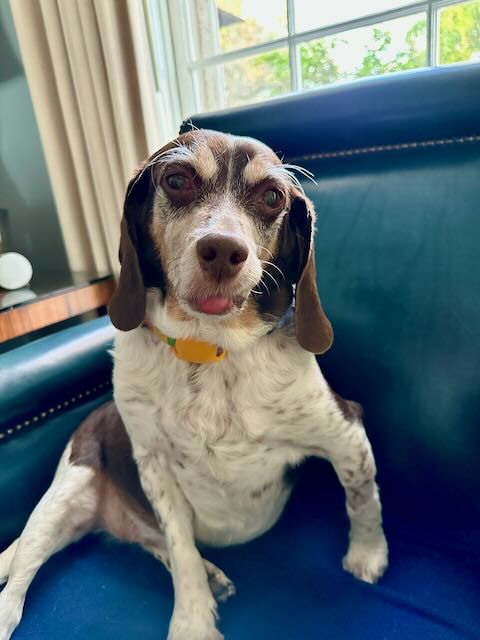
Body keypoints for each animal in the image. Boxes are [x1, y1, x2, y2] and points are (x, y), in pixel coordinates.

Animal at [0, 130, 386, 640]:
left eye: (272, 196)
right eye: (177, 180)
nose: (222, 250)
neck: (207, 349)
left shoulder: (345, 434)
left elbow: (363, 500)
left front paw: (368, 554)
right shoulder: (155, 466)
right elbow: (180, 548)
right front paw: (193, 622)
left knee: (151, 541)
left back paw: (212, 574)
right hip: (61, 500)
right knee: (16, 590)